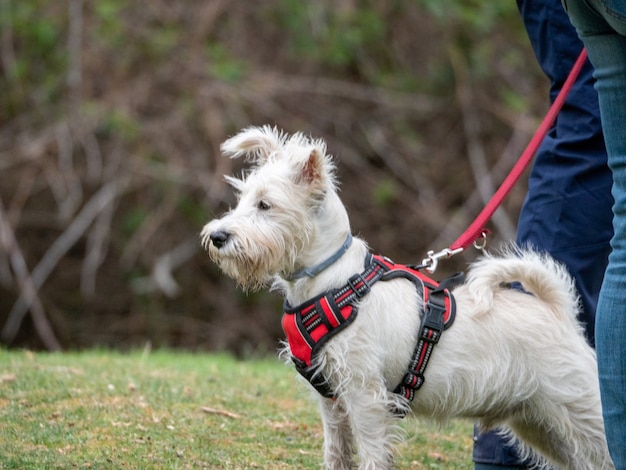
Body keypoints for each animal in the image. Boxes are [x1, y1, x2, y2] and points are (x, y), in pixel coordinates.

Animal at [202, 126, 612, 470]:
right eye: (242, 200)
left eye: (265, 205)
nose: (217, 236)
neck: (332, 282)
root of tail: (559, 312)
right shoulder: (333, 403)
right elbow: (337, 453)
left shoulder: (365, 397)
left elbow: (370, 453)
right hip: (540, 424)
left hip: (583, 415)